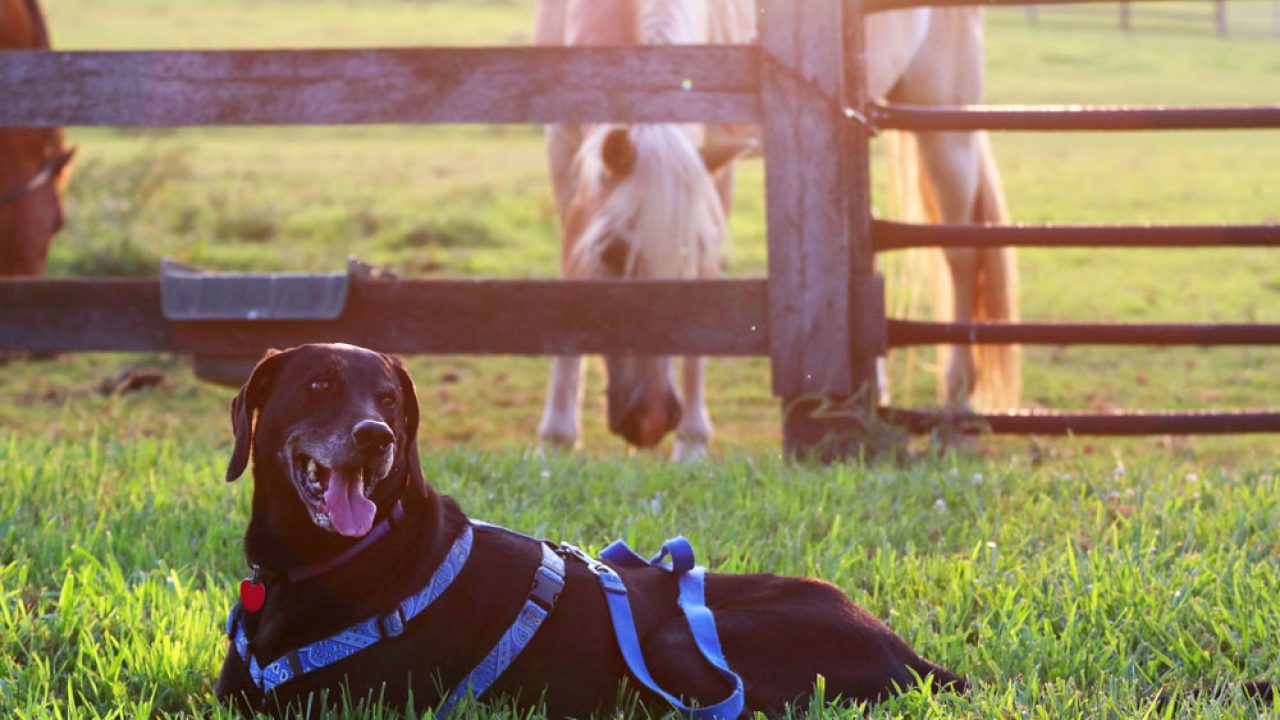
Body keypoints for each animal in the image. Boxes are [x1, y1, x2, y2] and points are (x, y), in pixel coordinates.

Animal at [533, 1, 1019, 459]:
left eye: (694, 255)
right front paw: (556, 439)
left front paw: (691, 443)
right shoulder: (564, 156)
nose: (651, 420)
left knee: (960, 254)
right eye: (613, 253)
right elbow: (569, 272)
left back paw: (956, 416)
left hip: (945, 126)